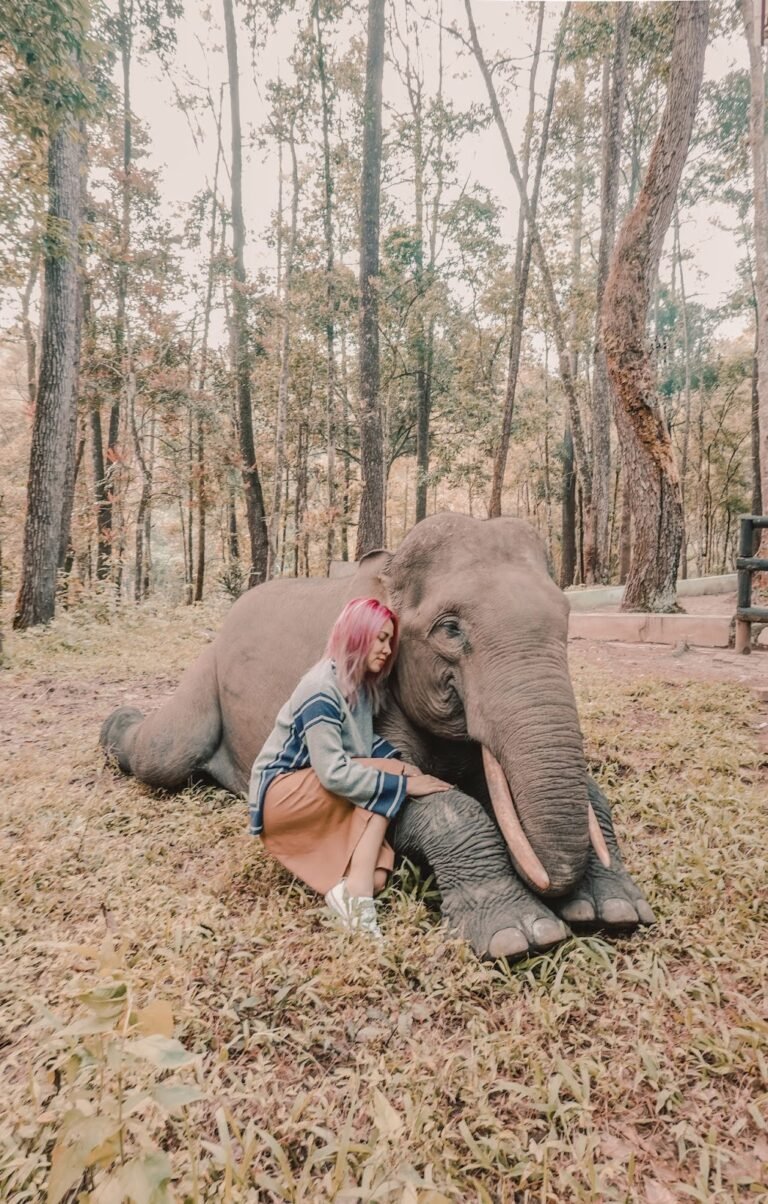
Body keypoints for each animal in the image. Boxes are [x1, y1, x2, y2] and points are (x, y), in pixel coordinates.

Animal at [100, 512, 654, 959]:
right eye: (450, 629)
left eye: (566, 619)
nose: (554, 889)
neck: (385, 570)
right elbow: (412, 790)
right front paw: (520, 935)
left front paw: (616, 910)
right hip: (205, 676)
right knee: (163, 753)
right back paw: (116, 723)